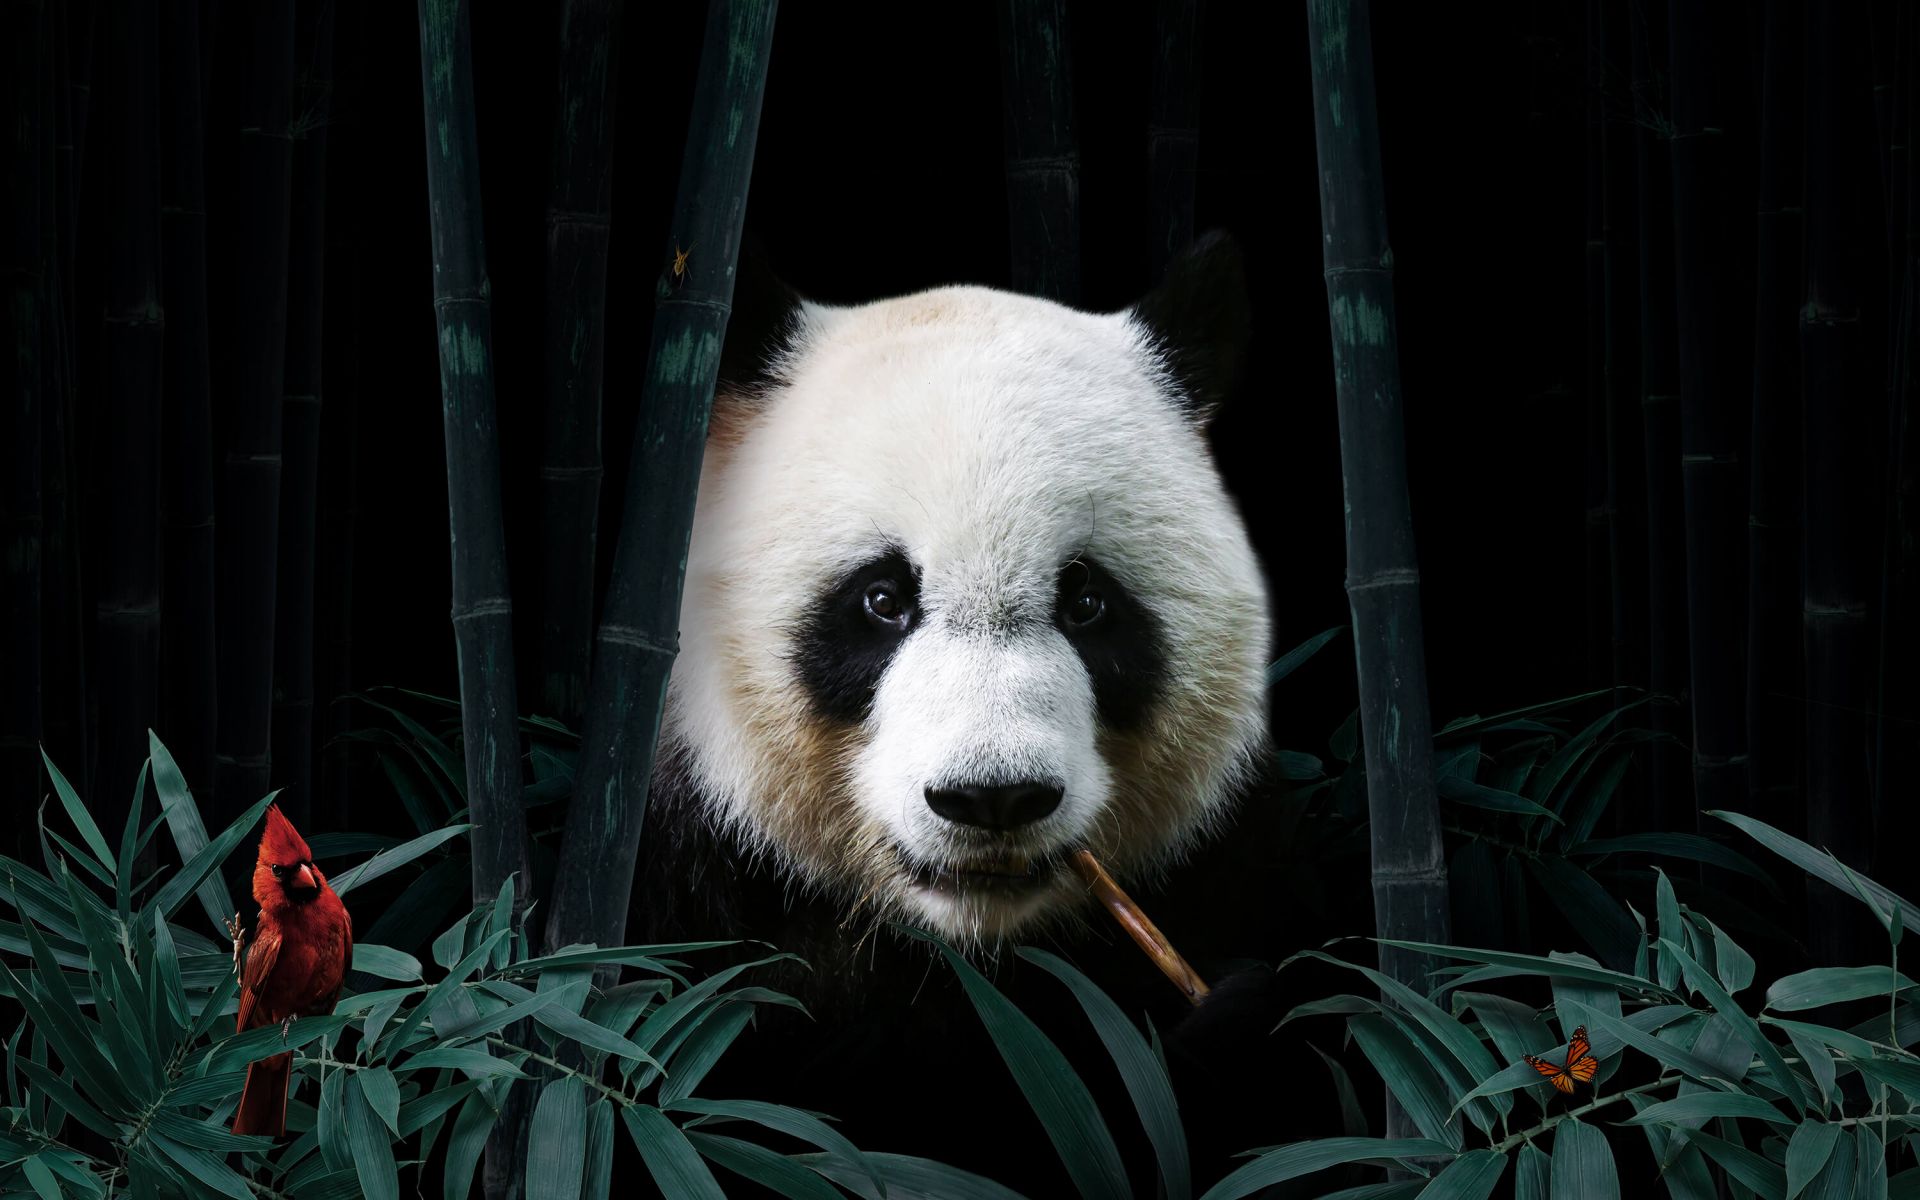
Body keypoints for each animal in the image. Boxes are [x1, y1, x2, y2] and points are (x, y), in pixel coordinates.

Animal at [635, 232, 1322, 1196]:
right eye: (882, 598)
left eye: (1087, 602)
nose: (993, 798)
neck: (965, 947)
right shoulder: (686, 882)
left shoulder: (1230, 855)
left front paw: (1240, 1031)